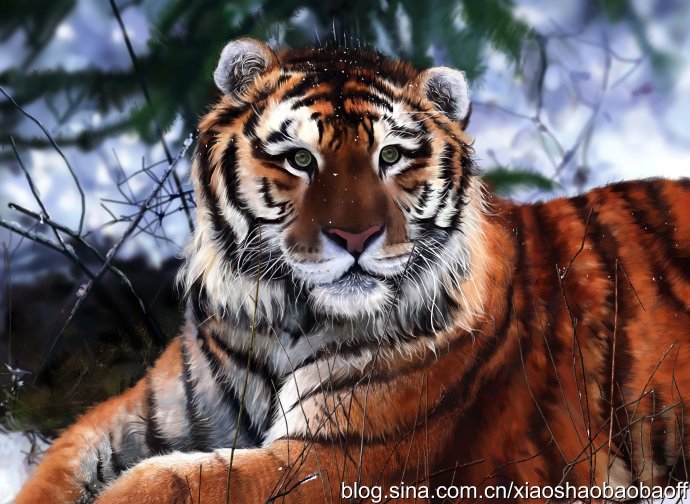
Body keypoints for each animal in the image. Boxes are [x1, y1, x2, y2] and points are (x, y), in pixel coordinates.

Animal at [16, 38, 690, 504]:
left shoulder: (341, 458)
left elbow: (168, 483)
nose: (356, 236)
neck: (283, 318)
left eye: (390, 156)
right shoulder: (148, 413)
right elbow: (59, 465)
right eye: (298, 159)